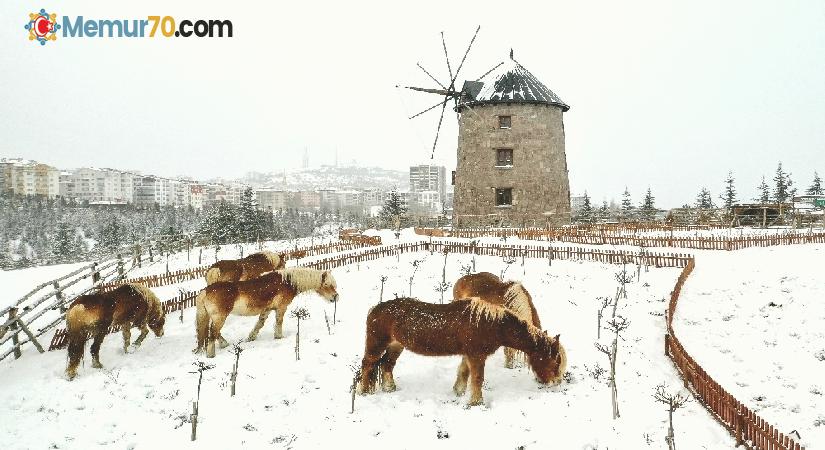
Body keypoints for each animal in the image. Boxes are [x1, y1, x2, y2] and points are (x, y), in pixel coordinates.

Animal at [195, 268, 336, 358]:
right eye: (327, 284)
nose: (335, 297)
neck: (287, 282)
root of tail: (205, 290)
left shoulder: (266, 310)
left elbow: (259, 324)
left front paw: (251, 338)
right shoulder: (281, 308)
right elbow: (279, 322)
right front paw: (279, 337)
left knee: (213, 332)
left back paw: (224, 344)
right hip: (220, 317)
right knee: (212, 333)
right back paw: (211, 355)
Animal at [358, 298, 564, 406]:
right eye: (554, 362)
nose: (554, 384)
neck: (492, 324)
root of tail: (374, 309)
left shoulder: (469, 354)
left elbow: (464, 372)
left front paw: (458, 392)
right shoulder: (477, 355)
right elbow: (477, 378)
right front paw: (476, 402)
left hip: (396, 346)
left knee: (387, 364)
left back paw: (390, 388)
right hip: (376, 346)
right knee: (367, 365)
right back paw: (363, 392)